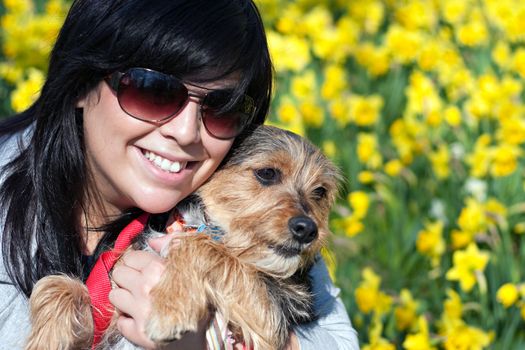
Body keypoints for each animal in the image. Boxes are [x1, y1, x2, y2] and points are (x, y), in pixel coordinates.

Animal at [26, 126, 342, 350]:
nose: (308, 229)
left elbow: (196, 246)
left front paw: (169, 310)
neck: (204, 226)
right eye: (267, 173)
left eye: (320, 192)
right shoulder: (109, 311)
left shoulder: (270, 319)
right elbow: (58, 285)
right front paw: (44, 341)